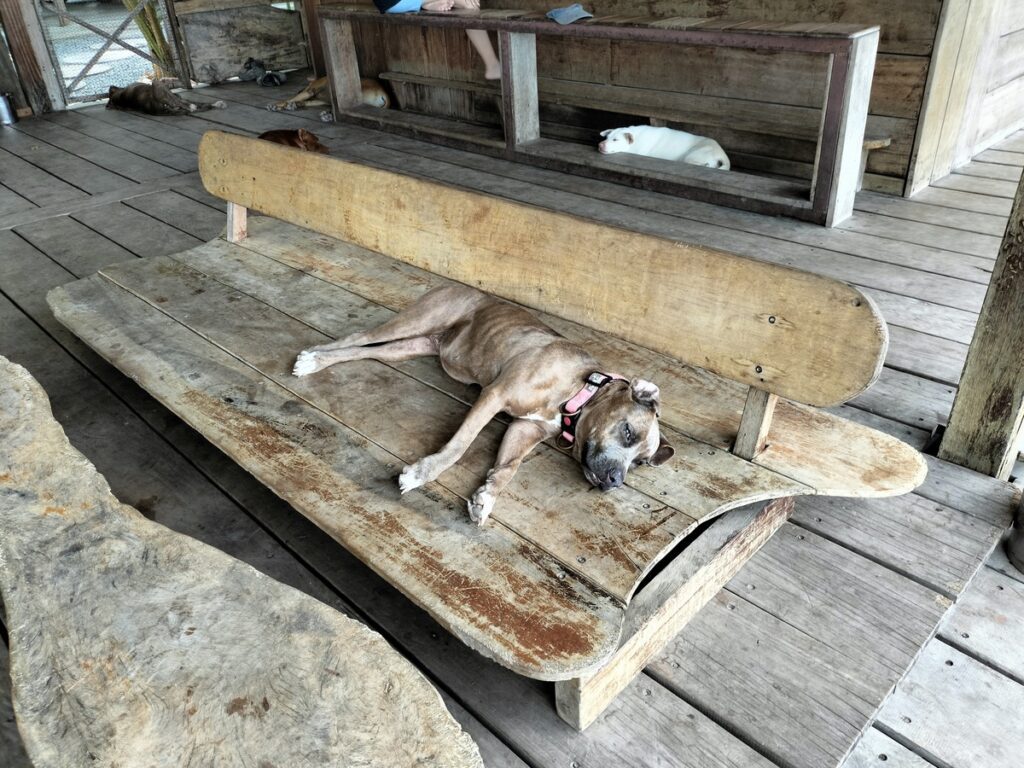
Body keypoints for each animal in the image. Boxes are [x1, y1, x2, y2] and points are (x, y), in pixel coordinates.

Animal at [292, 286, 675, 528]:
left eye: (640, 463)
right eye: (628, 431)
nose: (616, 481)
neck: (579, 390)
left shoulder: (524, 428)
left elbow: (508, 468)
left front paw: (486, 497)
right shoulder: (494, 395)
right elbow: (460, 446)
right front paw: (420, 474)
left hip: (409, 346)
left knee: (366, 351)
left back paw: (318, 361)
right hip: (417, 320)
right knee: (358, 338)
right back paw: (312, 358)